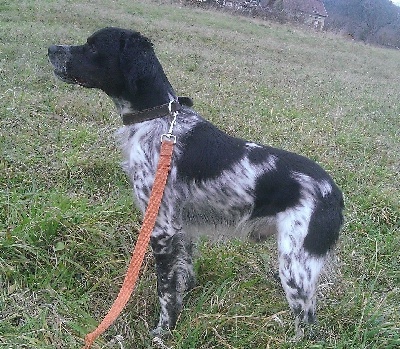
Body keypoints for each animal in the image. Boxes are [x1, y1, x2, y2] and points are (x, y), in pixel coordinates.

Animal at [48, 27, 344, 338]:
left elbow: (165, 291)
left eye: (93, 47)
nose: (51, 49)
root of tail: (334, 193)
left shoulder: (161, 229)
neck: (158, 119)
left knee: (307, 323)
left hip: (295, 268)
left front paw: (163, 332)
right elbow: (183, 276)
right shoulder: (182, 227)